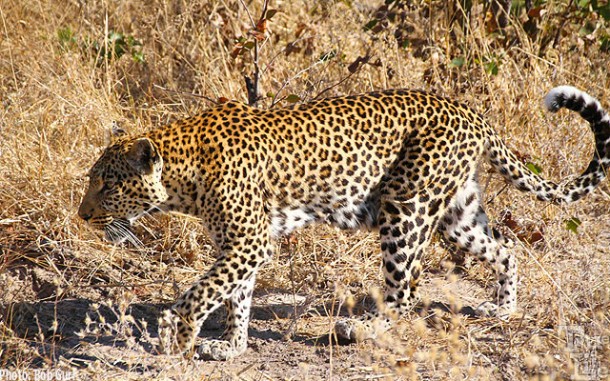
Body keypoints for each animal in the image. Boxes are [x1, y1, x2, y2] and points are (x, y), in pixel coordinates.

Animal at [77, 85, 608, 360]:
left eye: (105, 184)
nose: (82, 215)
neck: (184, 176)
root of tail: (471, 112)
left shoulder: (249, 241)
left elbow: (203, 291)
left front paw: (178, 333)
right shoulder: (239, 244)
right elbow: (235, 297)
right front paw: (233, 346)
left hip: (405, 208)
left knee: (404, 294)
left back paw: (361, 330)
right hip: (456, 212)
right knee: (505, 247)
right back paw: (503, 308)